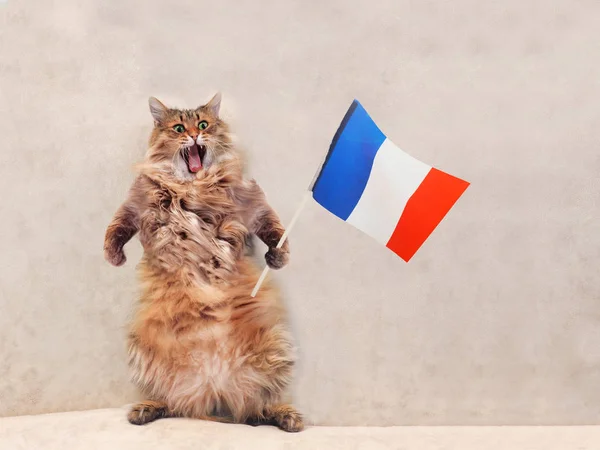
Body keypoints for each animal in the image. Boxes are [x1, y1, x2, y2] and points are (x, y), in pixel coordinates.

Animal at [102, 92, 304, 432]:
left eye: (204, 125)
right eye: (179, 128)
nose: (196, 135)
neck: (192, 186)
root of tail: (212, 389)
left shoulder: (250, 201)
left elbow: (272, 226)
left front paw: (278, 257)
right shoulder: (137, 202)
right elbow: (116, 226)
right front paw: (114, 255)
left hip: (273, 350)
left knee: (257, 409)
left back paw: (288, 416)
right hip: (144, 352)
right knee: (171, 403)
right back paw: (144, 409)